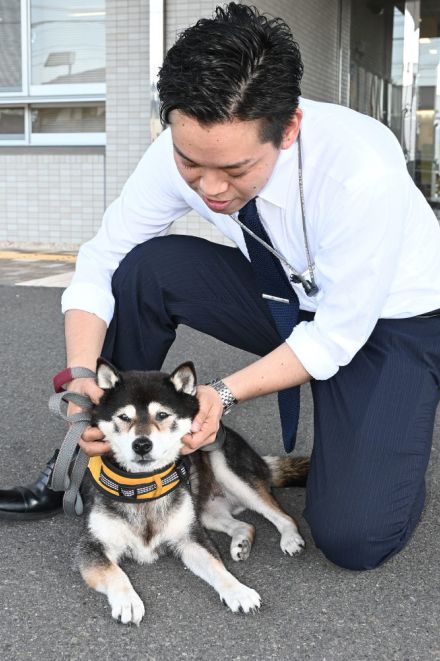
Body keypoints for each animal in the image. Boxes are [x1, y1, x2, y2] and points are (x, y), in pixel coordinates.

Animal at [76, 360, 310, 624]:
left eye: (162, 415)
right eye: (124, 417)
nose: (142, 445)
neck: (144, 486)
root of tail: (259, 458)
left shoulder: (190, 538)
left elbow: (217, 567)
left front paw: (239, 591)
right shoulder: (92, 546)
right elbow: (115, 573)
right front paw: (128, 601)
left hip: (226, 467)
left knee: (283, 516)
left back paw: (290, 538)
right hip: (205, 512)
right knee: (246, 524)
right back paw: (242, 542)